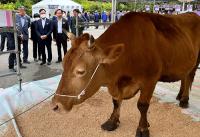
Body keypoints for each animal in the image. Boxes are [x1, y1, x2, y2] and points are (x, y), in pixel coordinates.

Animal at [52, 12, 200, 137]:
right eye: (63, 64)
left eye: (81, 71)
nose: (55, 105)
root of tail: (193, 14)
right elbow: (116, 101)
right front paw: (112, 121)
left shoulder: (150, 80)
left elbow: (142, 105)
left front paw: (143, 129)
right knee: (184, 76)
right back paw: (179, 95)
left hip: (196, 61)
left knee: (189, 77)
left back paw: (184, 99)